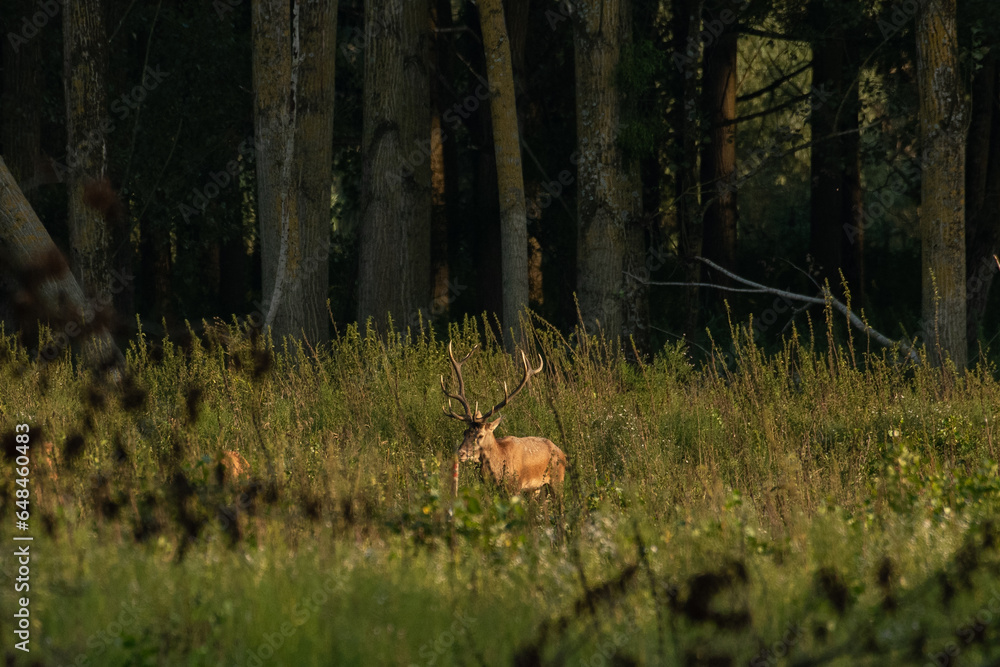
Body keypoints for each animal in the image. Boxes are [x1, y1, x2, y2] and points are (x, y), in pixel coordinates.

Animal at [440, 341, 566, 495]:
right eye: (465, 432)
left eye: (480, 435)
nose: (461, 453)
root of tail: (562, 453)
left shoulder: (515, 488)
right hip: (536, 489)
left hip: (557, 481)